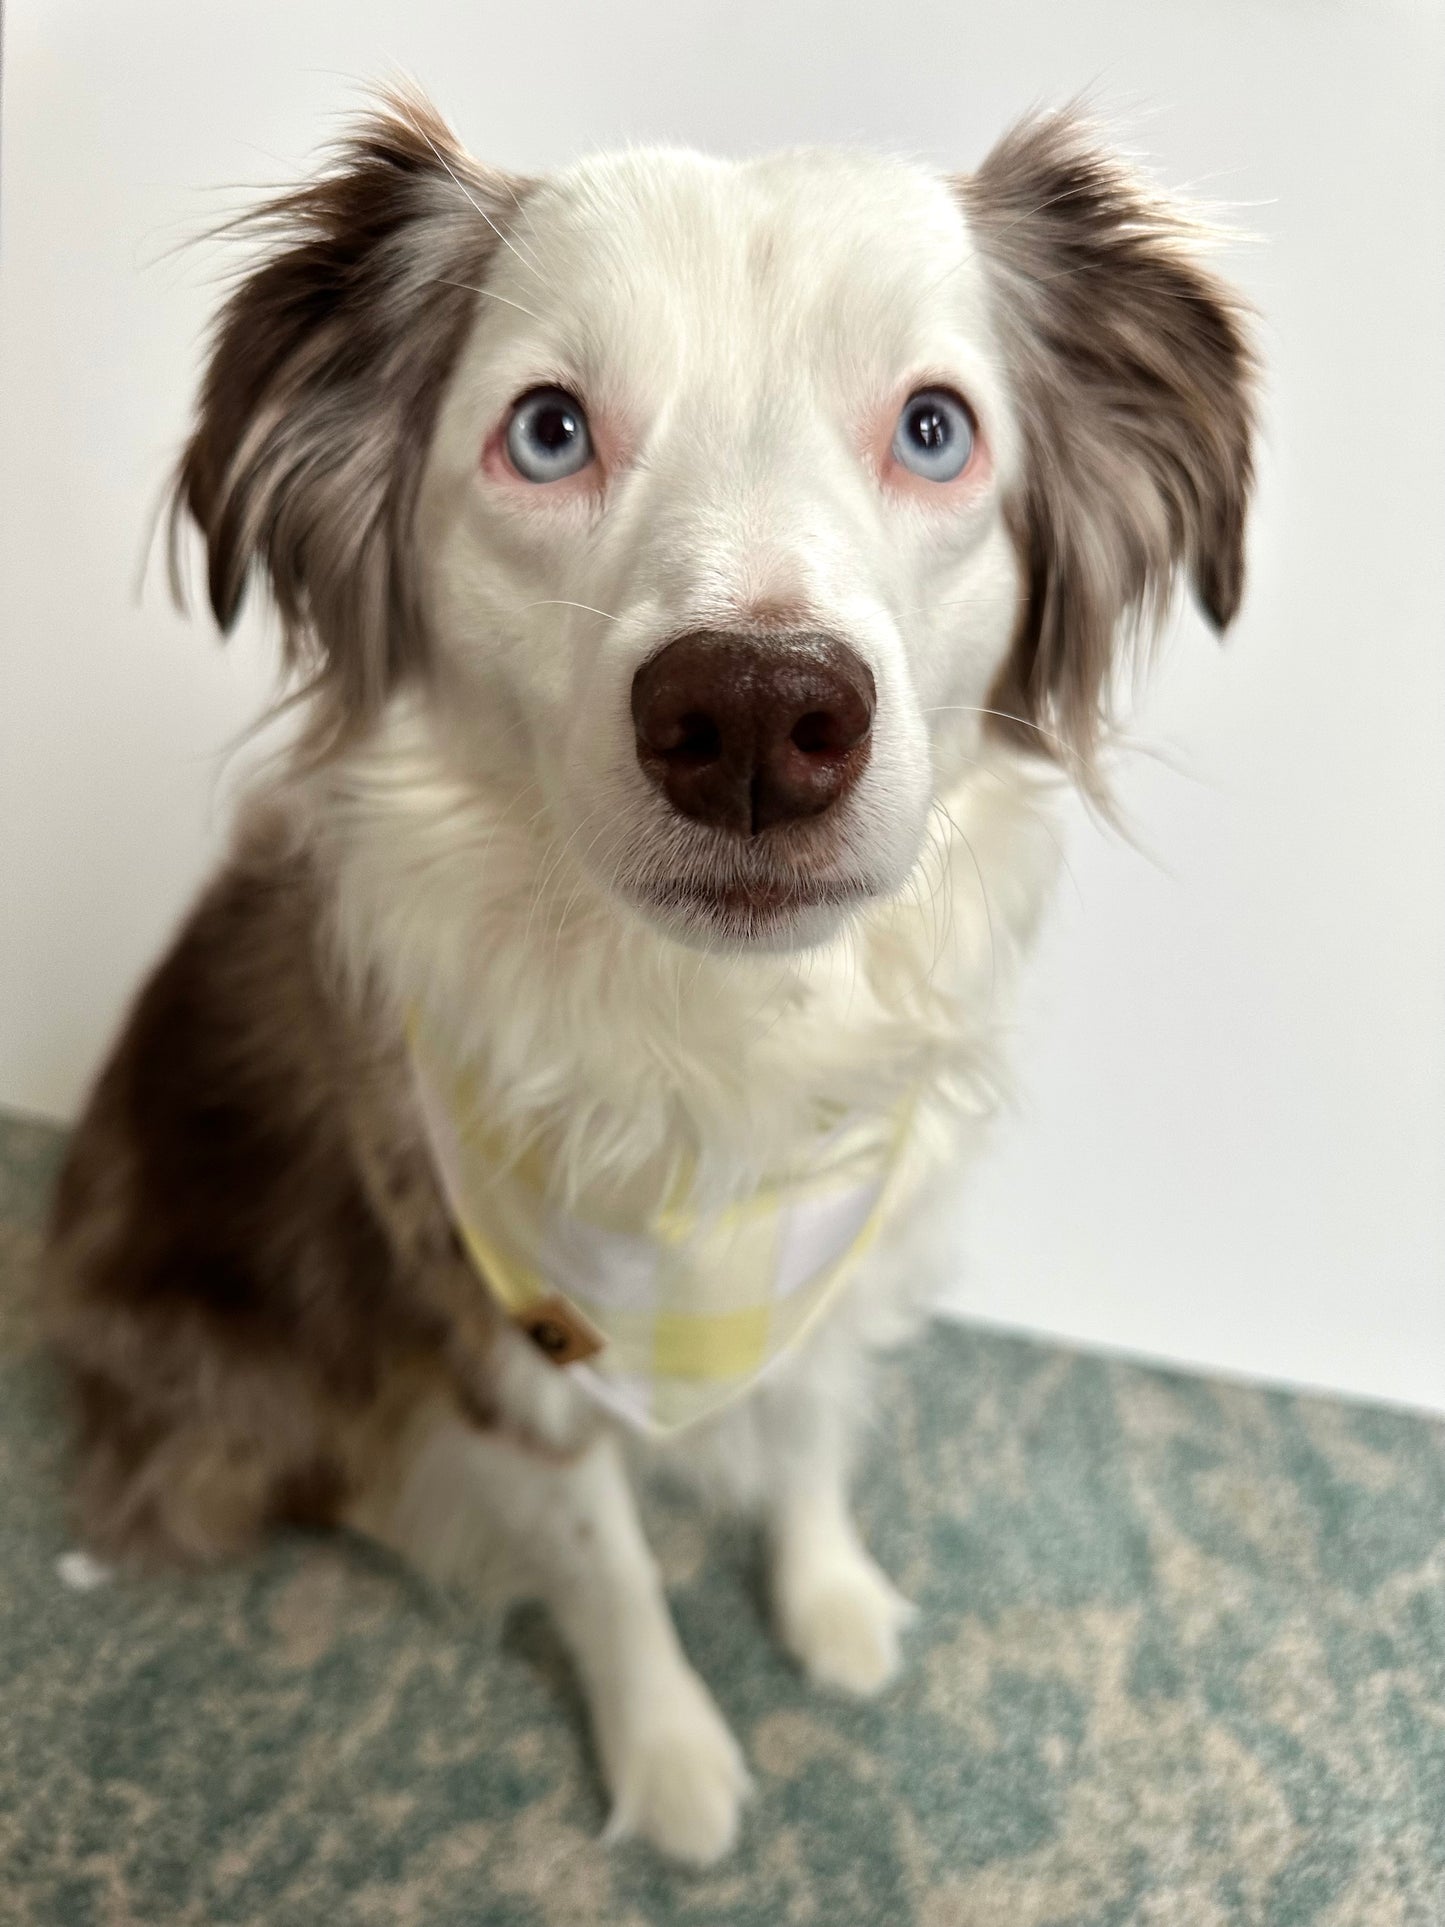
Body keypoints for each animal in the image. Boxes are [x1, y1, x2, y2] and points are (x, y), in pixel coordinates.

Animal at [42, 82, 1256, 1857]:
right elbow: (604, 1560)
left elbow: (809, 1426)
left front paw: (830, 1600)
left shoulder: (841, 1210)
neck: (717, 1055)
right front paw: (671, 1754)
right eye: (549, 430)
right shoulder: (498, 1327)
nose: (755, 714)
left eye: (933, 428)